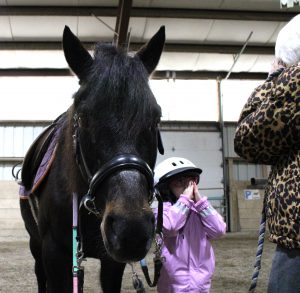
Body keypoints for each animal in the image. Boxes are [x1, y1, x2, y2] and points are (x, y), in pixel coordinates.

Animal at [19, 25, 165, 292]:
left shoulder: (112, 262)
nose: (132, 229)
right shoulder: (54, 253)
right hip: (36, 243)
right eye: (84, 117)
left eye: (156, 118)